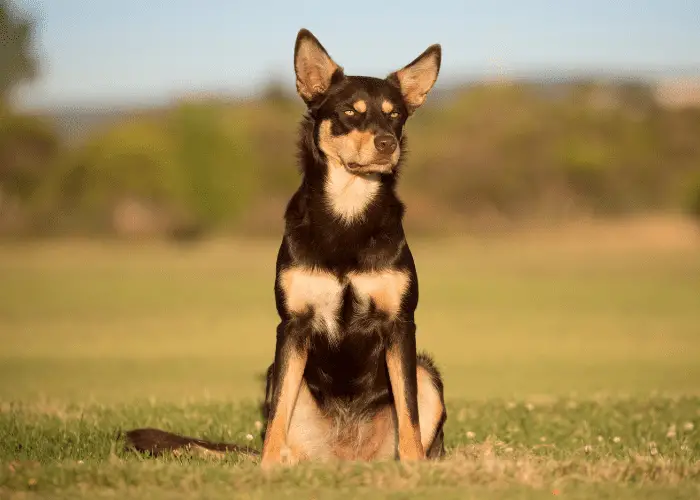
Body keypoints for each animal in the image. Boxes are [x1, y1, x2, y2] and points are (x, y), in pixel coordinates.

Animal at [123, 28, 446, 468]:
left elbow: (408, 410)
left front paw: (415, 470)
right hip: (276, 372)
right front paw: (267, 469)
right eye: (350, 112)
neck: (347, 214)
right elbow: (277, 415)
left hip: (427, 372)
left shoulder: (400, 324)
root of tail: (345, 458)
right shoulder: (292, 326)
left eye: (394, 115)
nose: (386, 144)